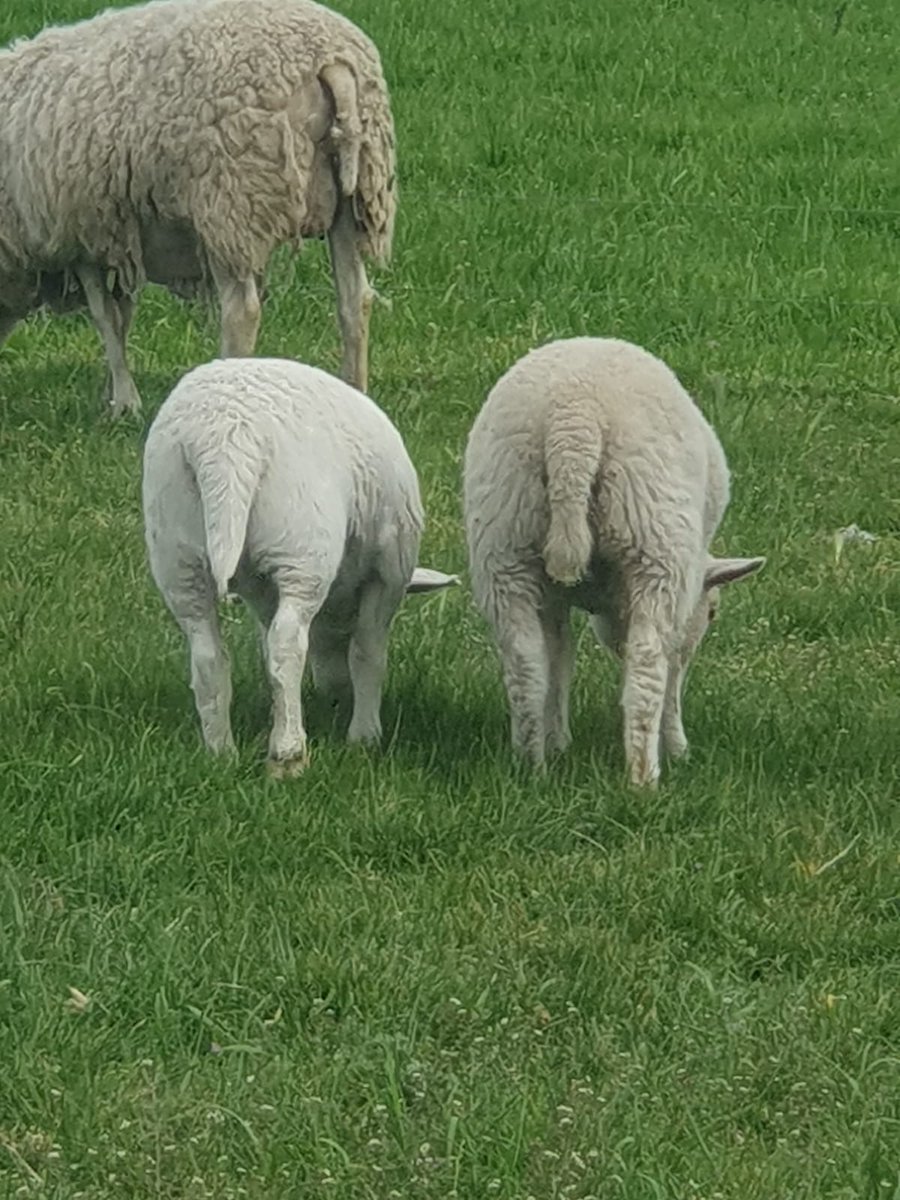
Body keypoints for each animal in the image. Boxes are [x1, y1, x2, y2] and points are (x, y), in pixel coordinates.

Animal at [0, 0, 396, 415]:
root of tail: (330, 60)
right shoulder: (117, 232)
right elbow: (122, 313)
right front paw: (115, 392)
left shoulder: (80, 232)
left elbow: (105, 316)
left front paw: (123, 401)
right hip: (357, 197)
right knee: (355, 301)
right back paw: (356, 395)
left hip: (231, 203)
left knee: (242, 311)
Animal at [142, 356, 455, 775]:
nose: (335, 693)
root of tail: (224, 440)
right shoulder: (387, 572)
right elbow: (368, 651)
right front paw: (364, 736)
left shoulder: (260, 590)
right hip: (301, 547)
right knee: (287, 643)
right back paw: (288, 755)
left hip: (177, 552)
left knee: (207, 653)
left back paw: (221, 751)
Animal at [462, 337, 765, 788]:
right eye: (712, 612)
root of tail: (574, 420)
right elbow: (671, 668)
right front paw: (678, 747)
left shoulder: (554, 596)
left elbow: (560, 656)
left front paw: (558, 741)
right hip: (654, 541)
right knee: (647, 665)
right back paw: (643, 778)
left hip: (504, 540)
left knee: (525, 661)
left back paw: (532, 766)